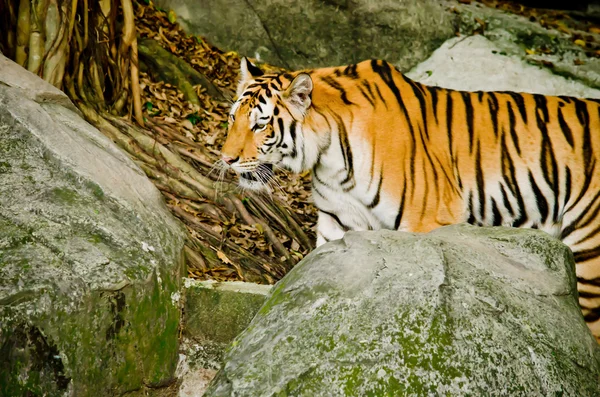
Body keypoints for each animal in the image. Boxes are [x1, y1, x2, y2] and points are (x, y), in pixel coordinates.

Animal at [220, 56, 600, 338]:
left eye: (260, 125)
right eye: (232, 118)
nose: (225, 159)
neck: (330, 156)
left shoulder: (426, 222)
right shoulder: (339, 221)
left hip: (589, 253)